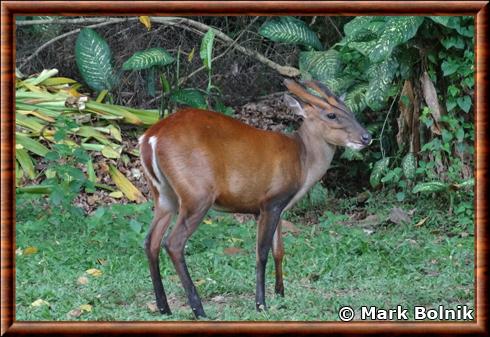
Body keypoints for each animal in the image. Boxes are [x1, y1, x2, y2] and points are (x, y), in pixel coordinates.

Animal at [138, 79, 372, 318]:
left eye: (350, 110)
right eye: (331, 115)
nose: (367, 137)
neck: (303, 161)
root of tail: (150, 139)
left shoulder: (278, 207)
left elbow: (279, 250)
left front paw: (280, 294)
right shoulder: (270, 201)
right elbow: (262, 252)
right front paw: (261, 304)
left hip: (164, 196)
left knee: (150, 241)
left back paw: (164, 308)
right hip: (197, 194)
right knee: (173, 243)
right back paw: (199, 310)